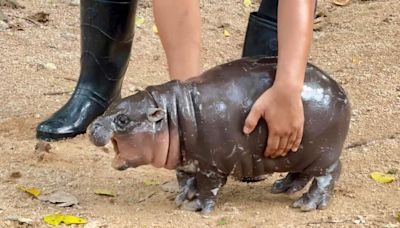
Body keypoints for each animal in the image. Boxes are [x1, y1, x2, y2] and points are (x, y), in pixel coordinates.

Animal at [88, 56, 350, 214]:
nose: (92, 126)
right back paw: (282, 187)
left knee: (328, 175)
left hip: (323, 155)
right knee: (301, 173)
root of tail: (340, 89)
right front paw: (183, 198)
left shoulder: (211, 166)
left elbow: (207, 187)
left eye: (123, 120)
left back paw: (307, 204)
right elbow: (185, 179)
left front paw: (197, 207)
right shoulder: (187, 162)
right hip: (299, 152)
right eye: (110, 106)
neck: (172, 115)